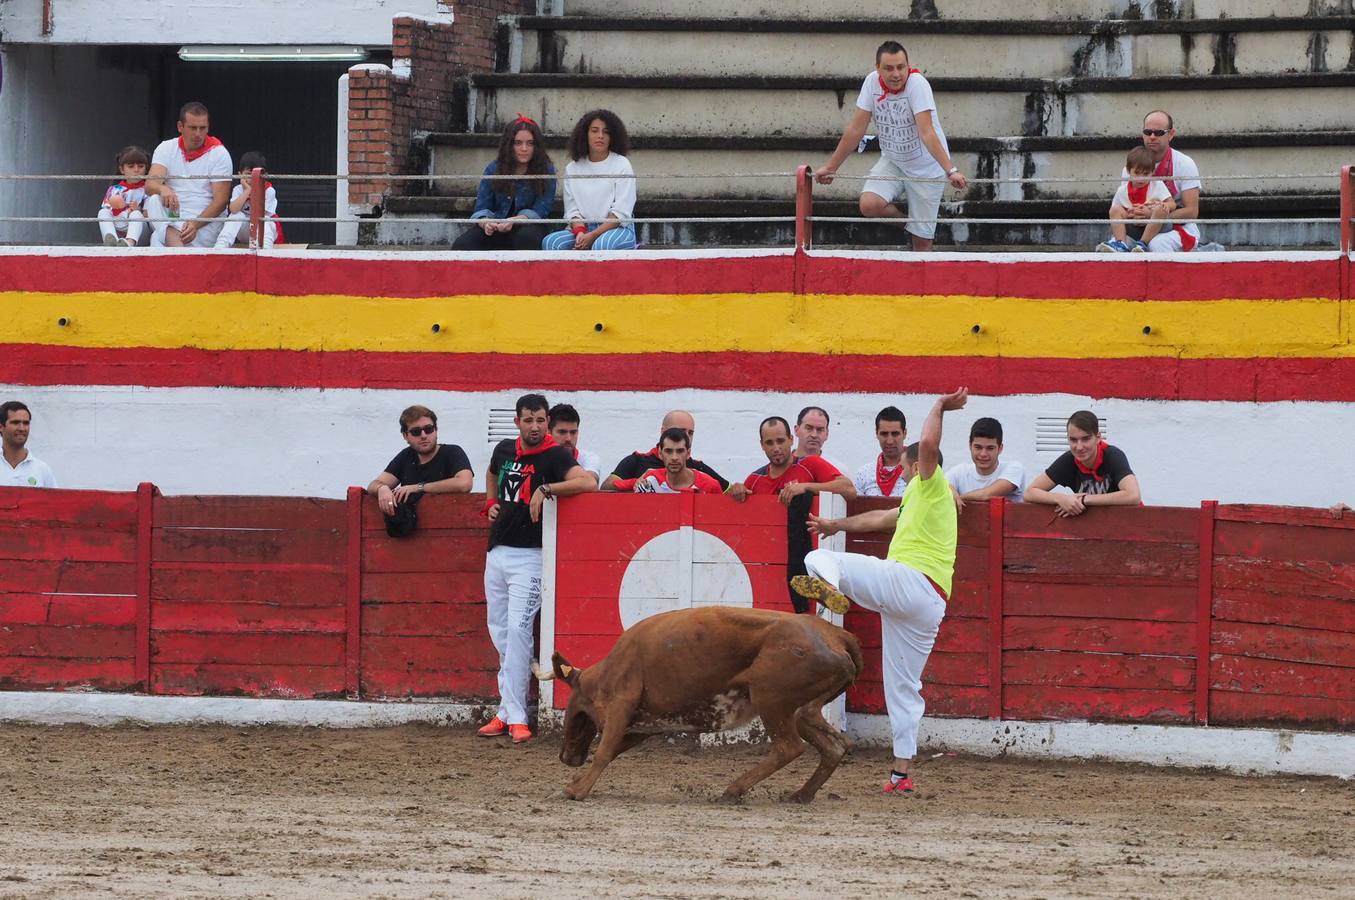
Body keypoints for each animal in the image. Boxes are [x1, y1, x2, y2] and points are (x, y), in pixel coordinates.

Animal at [533, 604, 861, 802]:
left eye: (575, 704)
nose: (565, 756)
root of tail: (834, 634)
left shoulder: (621, 705)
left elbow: (604, 751)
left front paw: (575, 790)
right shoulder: (646, 723)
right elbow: (613, 749)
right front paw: (576, 783)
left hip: (770, 698)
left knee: (788, 747)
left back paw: (733, 790)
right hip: (801, 710)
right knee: (835, 745)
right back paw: (800, 795)